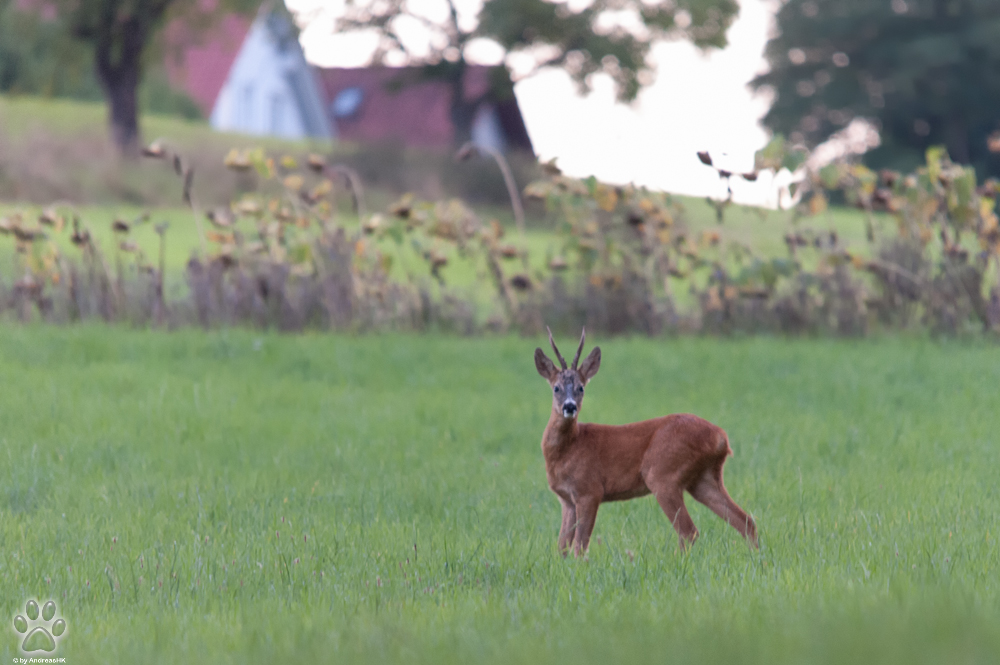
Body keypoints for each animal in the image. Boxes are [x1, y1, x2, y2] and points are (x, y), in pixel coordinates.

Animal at [532, 328, 756, 556]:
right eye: (556, 388)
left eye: (581, 388)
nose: (569, 407)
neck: (569, 448)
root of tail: (720, 437)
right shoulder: (567, 500)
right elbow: (562, 547)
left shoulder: (590, 490)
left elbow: (579, 546)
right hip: (704, 478)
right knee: (746, 520)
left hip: (663, 474)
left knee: (689, 531)